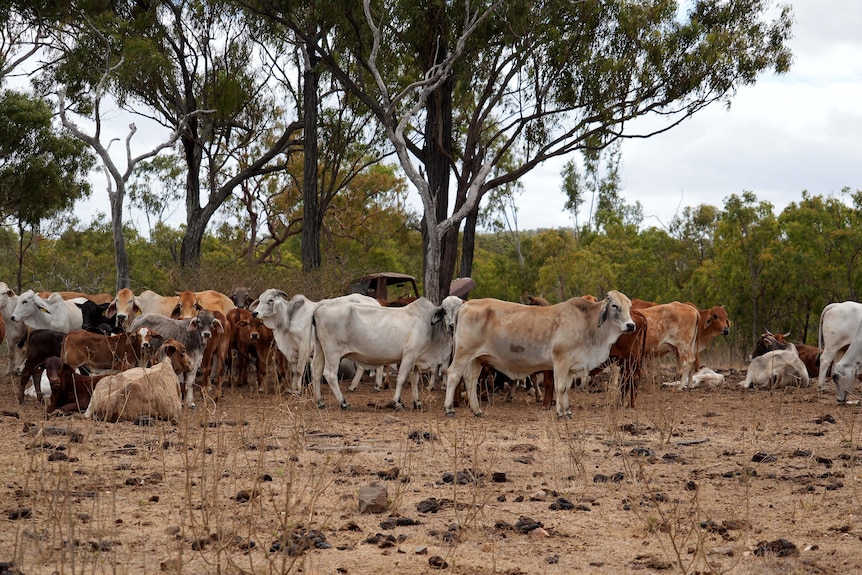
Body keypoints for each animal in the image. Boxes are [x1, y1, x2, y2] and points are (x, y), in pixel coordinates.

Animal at [250, 289, 379, 396]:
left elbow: (298, 371)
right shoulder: (292, 350)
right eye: (260, 299)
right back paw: (360, 386)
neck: (289, 319)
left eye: (270, 300)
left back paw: (370, 386)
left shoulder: (303, 347)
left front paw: (297, 391)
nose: (254, 313)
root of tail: (375, 302)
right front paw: (292, 389)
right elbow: (293, 371)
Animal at [311, 296, 463, 410]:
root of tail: (323, 304)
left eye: (458, 310)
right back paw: (343, 402)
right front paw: (397, 402)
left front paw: (417, 402)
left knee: (316, 372)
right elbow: (401, 379)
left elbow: (414, 381)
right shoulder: (409, 355)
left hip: (320, 350)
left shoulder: (416, 360)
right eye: (444, 310)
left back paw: (320, 401)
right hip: (333, 353)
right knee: (330, 375)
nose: (452, 326)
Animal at [444, 291, 636, 418]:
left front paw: (567, 410)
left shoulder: (571, 366)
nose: (631, 325)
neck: (587, 324)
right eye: (615, 306)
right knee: (453, 375)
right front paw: (560, 412)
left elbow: (567, 388)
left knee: (470, 379)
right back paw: (449, 409)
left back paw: (477, 410)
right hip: (463, 354)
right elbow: (560, 387)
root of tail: (466, 304)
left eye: (629, 306)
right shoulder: (561, 360)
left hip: (476, 358)